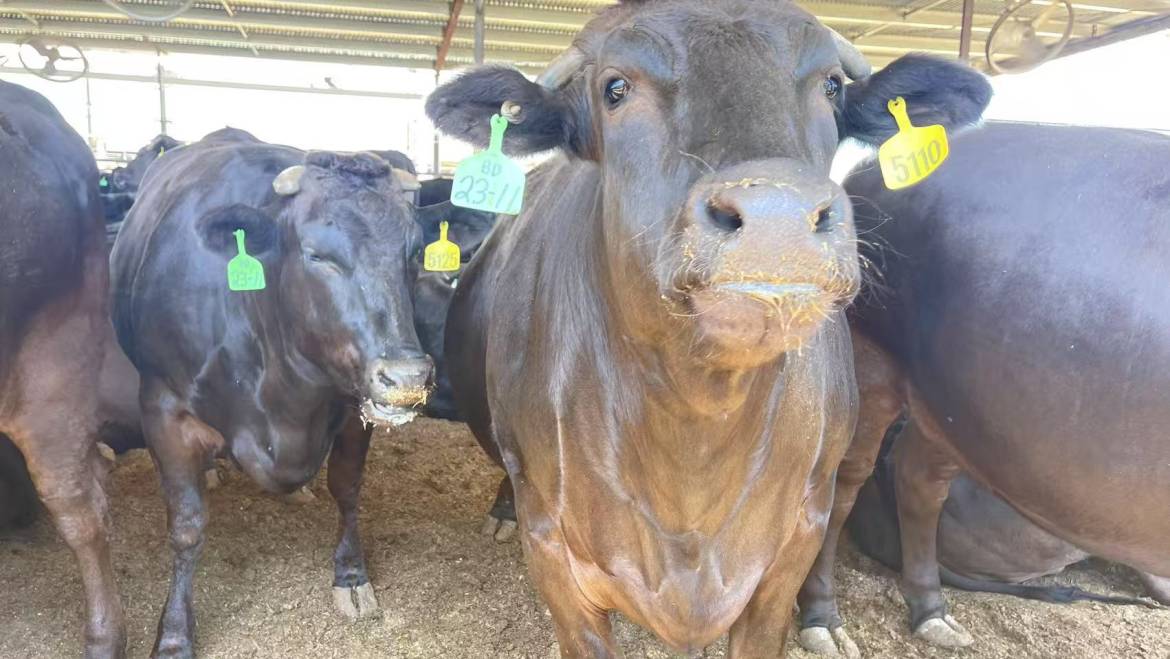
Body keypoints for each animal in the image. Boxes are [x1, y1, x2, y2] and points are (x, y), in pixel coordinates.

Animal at [109, 127, 440, 657]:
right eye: (316, 254)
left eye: (412, 253)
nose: (406, 377)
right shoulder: (163, 411)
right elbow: (186, 527)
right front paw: (175, 632)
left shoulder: (355, 410)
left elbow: (347, 488)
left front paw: (351, 575)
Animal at [795, 122, 1170, 655]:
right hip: (872, 360)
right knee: (844, 478)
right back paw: (822, 619)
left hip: (961, 412)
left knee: (919, 480)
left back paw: (932, 612)